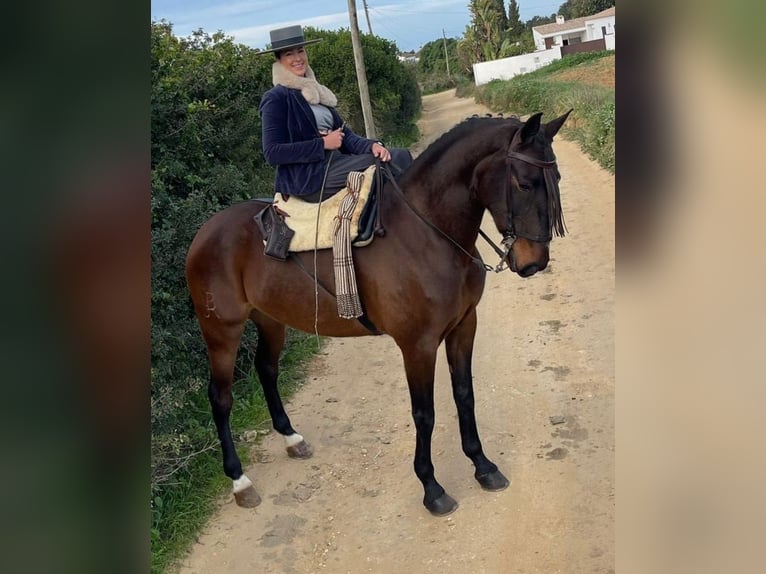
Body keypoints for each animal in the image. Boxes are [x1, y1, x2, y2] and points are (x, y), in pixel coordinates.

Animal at [186, 110, 568, 516]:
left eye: (556, 179)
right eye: (525, 183)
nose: (534, 262)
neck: (427, 234)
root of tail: (205, 232)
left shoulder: (464, 326)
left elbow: (465, 395)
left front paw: (483, 465)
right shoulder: (418, 345)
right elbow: (424, 413)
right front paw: (432, 488)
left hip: (271, 319)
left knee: (267, 370)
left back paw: (291, 438)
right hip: (221, 330)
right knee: (220, 397)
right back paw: (239, 480)